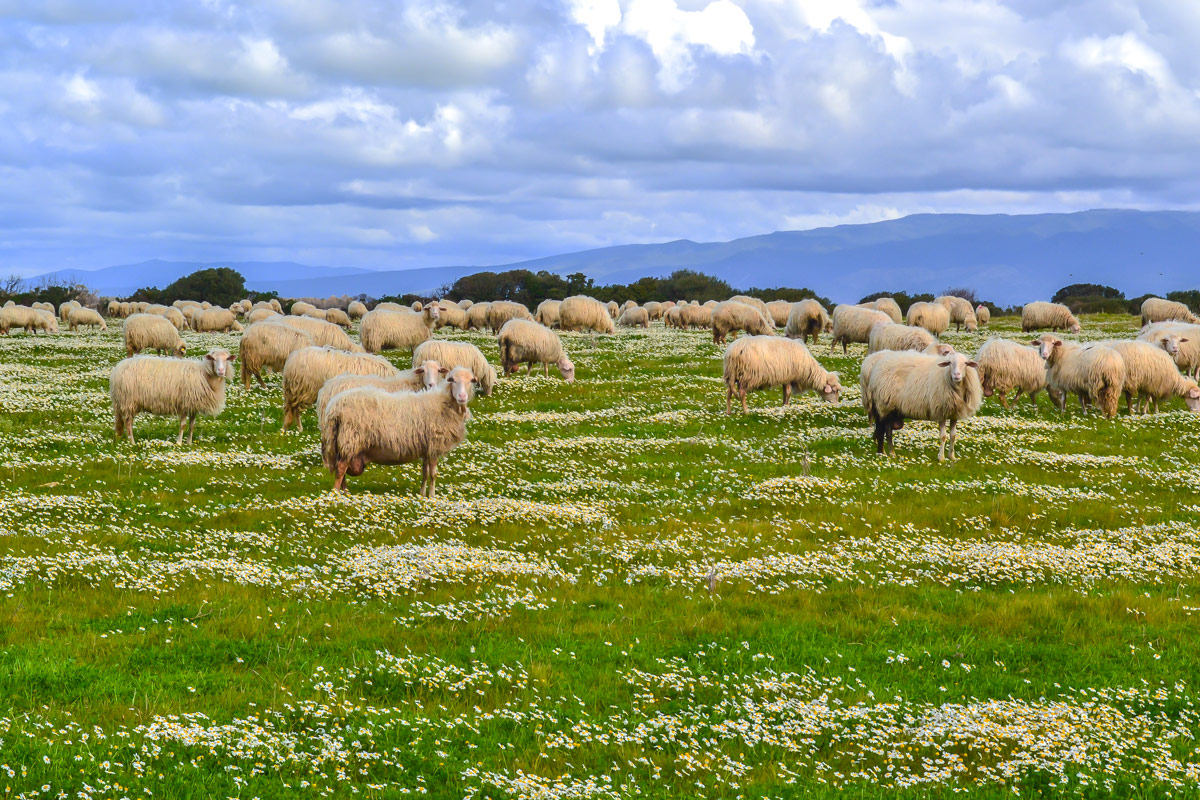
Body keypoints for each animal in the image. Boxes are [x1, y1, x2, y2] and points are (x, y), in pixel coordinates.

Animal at [324, 364, 482, 494]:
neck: (444, 404)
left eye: (470, 381)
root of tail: (334, 407)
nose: (462, 396)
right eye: (452, 380)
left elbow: (425, 473)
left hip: (343, 443)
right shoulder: (434, 445)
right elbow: (433, 474)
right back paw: (336, 495)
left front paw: (422, 494)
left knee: (342, 469)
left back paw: (345, 493)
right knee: (340, 469)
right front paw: (432, 496)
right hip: (350, 440)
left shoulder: (426, 447)